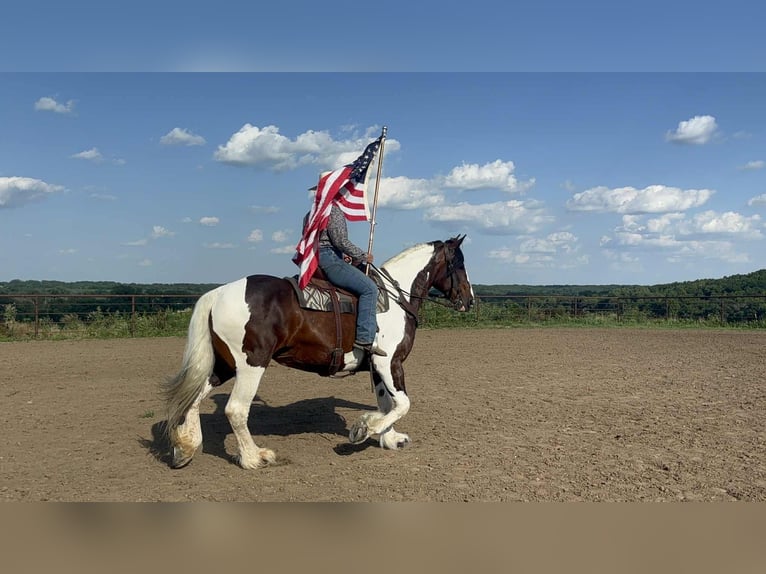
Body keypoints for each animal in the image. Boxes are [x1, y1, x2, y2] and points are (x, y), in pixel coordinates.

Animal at [161, 235, 474, 469]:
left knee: (193, 399)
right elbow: (402, 403)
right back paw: (254, 457)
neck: (395, 299)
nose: (469, 300)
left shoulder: (377, 366)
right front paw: (364, 430)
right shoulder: (391, 363)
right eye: (459, 264)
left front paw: (390, 438)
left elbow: (388, 402)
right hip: (251, 364)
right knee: (236, 409)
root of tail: (218, 293)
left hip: (224, 365)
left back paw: (185, 448)